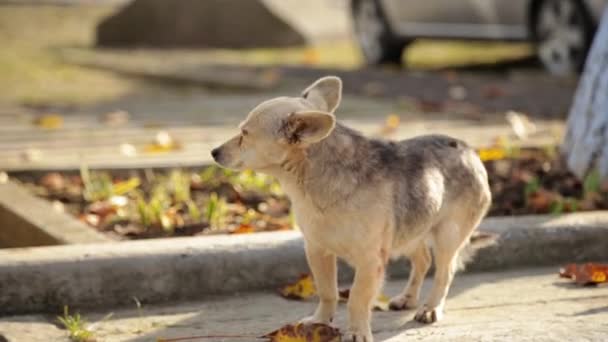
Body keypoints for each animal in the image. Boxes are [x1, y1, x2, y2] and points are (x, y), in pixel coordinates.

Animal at [213, 76, 494, 340]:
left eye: (244, 134)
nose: (214, 152)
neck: (309, 185)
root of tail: (468, 149)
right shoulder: (317, 250)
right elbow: (328, 292)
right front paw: (320, 321)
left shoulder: (370, 261)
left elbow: (357, 299)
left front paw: (358, 331)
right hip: (411, 230)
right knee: (423, 261)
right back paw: (408, 298)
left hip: (447, 236)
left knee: (444, 272)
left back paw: (430, 308)